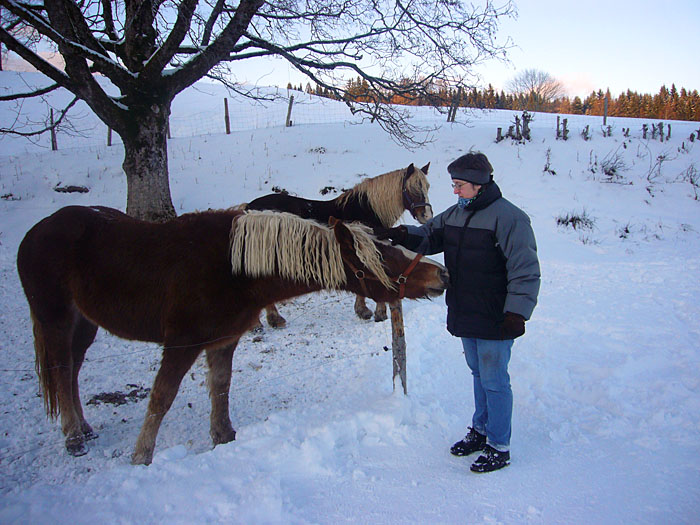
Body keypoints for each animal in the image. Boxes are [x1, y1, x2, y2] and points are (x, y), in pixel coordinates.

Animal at [17, 205, 448, 465]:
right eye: (382, 259)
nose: (440, 274)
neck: (233, 268)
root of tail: (36, 230)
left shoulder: (223, 340)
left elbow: (221, 386)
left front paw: (223, 436)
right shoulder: (181, 343)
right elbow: (161, 399)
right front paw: (142, 457)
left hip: (84, 323)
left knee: (71, 371)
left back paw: (83, 428)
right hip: (55, 318)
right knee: (60, 370)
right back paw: (73, 436)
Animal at [243, 162, 433, 326]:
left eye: (427, 187)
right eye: (412, 188)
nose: (427, 216)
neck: (366, 210)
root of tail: (249, 207)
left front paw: (363, 310)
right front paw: (377, 313)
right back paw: (271, 320)